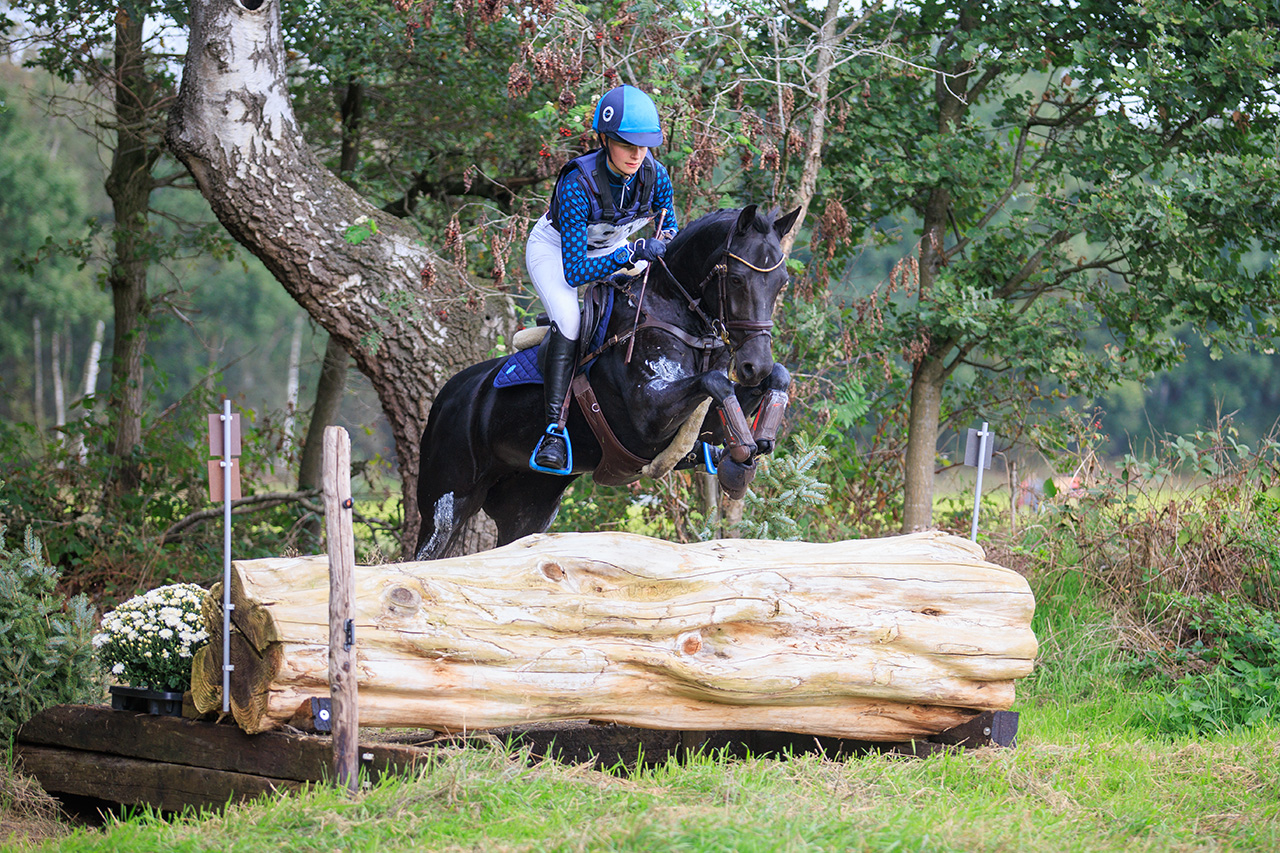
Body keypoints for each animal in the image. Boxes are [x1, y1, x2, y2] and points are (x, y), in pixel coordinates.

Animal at [414, 204, 801, 560]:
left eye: (781, 282)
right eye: (736, 279)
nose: (754, 366)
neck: (676, 313)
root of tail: (447, 396)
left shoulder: (704, 422)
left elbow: (774, 377)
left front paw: (755, 443)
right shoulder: (649, 418)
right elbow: (716, 382)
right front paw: (741, 458)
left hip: (528, 504)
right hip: (446, 501)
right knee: (424, 554)